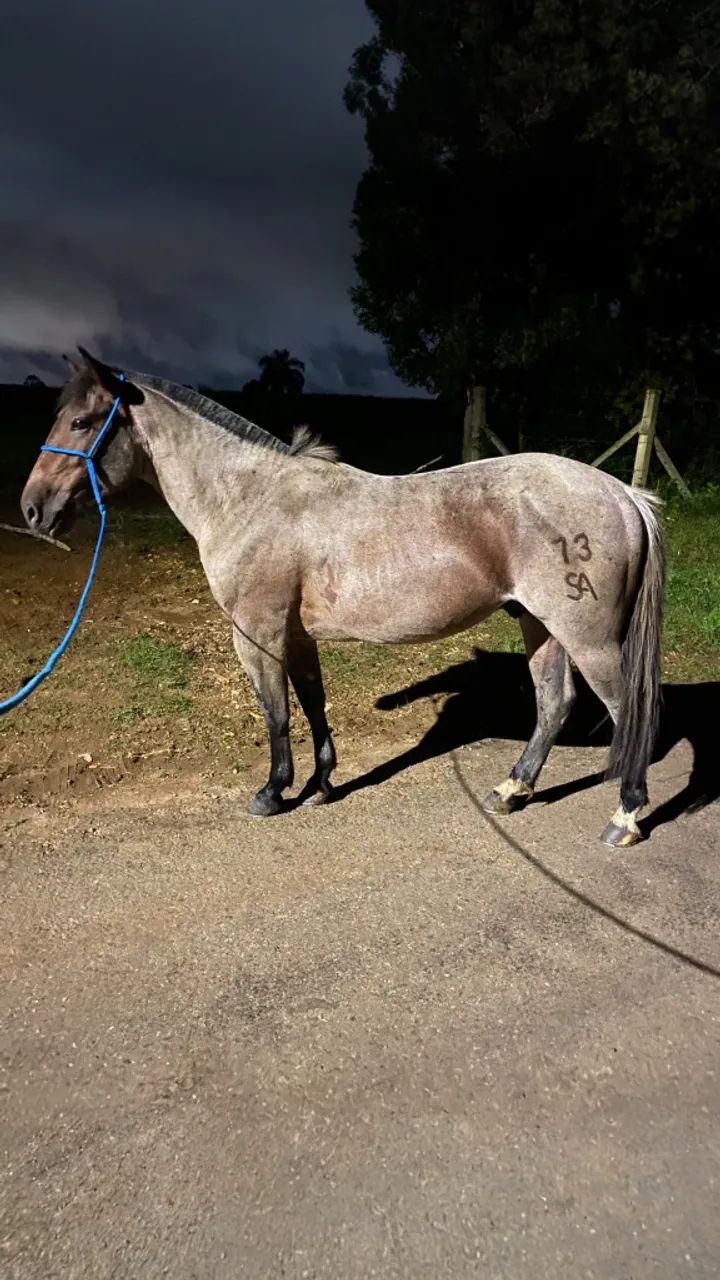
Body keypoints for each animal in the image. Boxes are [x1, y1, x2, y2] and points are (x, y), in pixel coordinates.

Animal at [20, 348, 665, 847]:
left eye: (81, 422)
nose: (32, 510)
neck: (250, 498)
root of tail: (622, 493)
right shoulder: (295, 634)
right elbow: (312, 704)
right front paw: (320, 786)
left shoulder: (257, 632)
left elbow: (276, 713)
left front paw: (272, 792)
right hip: (540, 625)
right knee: (554, 704)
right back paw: (512, 790)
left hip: (588, 637)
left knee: (625, 710)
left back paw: (625, 816)